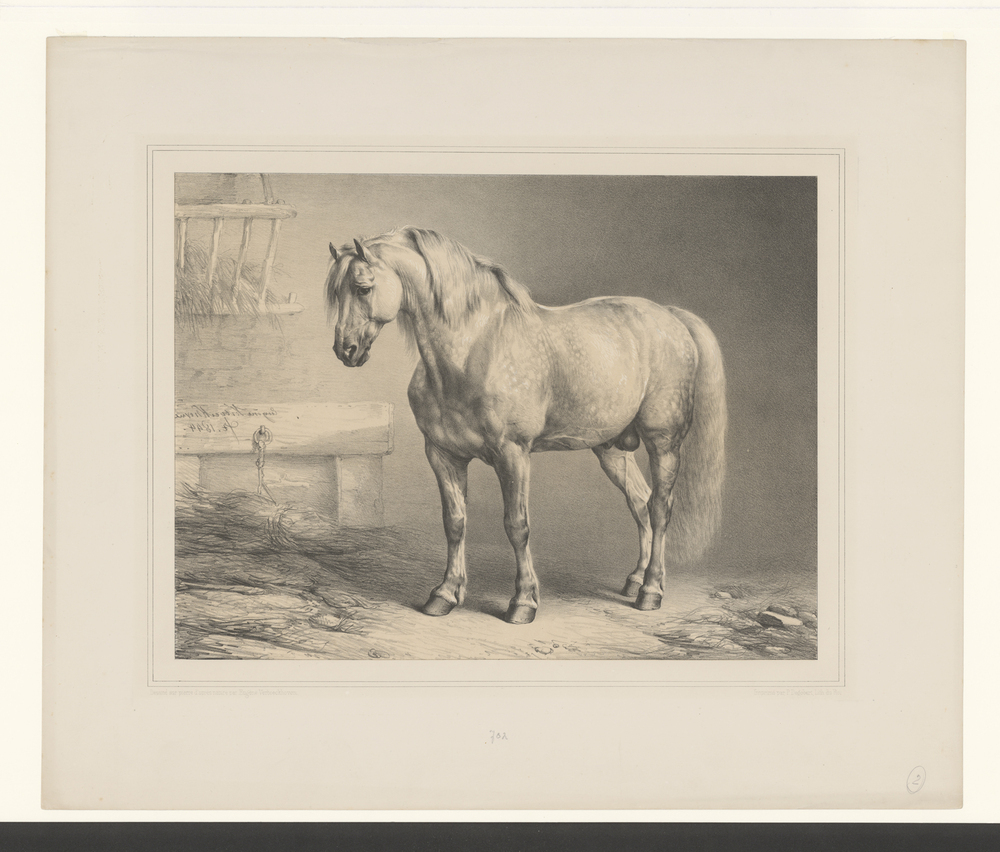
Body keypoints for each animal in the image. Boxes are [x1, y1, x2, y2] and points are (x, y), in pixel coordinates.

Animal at [325, 227, 726, 625]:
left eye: (362, 288)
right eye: (336, 292)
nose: (345, 350)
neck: (473, 351)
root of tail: (670, 316)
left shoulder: (513, 454)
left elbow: (517, 526)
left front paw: (523, 602)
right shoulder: (443, 455)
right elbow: (454, 522)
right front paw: (445, 594)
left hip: (664, 442)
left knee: (659, 508)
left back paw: (651, 591)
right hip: (612, 450)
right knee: (640, 503)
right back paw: (634, 581)